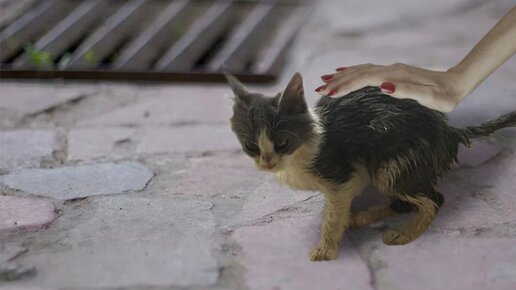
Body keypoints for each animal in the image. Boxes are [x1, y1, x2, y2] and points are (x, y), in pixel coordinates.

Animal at [227, 72, 516, 260]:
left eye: (283, 142)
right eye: (251, 146)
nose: (267, 163)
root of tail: (449, 132)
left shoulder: (339, 176)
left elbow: (333, 214)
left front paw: (326, 248)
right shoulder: (352, 177)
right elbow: (338, 207)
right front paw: (343, 222)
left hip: (393, 166)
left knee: (434, 199)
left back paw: (405, 233)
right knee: (405, 202)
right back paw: (363, 217)